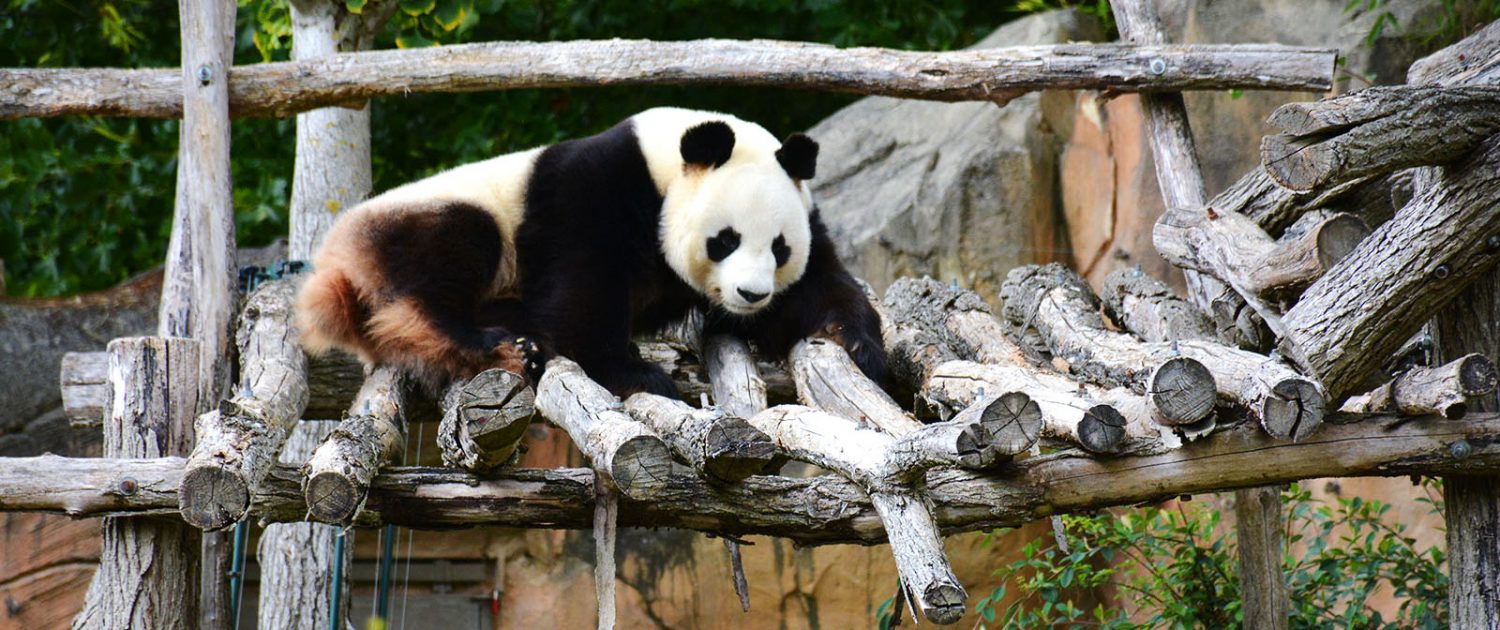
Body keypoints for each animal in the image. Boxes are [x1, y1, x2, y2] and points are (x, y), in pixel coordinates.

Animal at [298, 105, 882, 396]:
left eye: (779, 249)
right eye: (725, 240)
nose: (751, 294)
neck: (662, 165)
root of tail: (335, 268)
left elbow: (816, 289)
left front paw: (857, 343)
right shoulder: (593, 192)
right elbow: (584, 290)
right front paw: (634, 373)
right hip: (427, 218)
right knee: (441, 268)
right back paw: (497, 345)